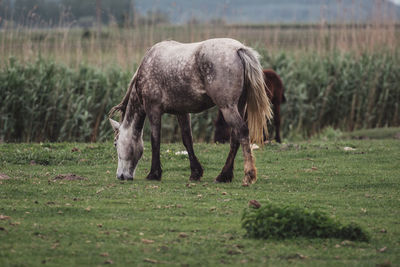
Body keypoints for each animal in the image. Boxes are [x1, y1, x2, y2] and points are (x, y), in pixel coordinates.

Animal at [108, 38, 272, 186]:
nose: (120, 176)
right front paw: (195, 173)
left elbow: (155, 140)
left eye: (116, 144)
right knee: (235, 138)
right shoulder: (181, 112)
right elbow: (187, 140)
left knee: (242, 132)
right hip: (238, 106)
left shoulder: (153, 109)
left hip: (228, 107)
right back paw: (224, 175)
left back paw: (248, 175)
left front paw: (154, 173)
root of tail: (239, 49)